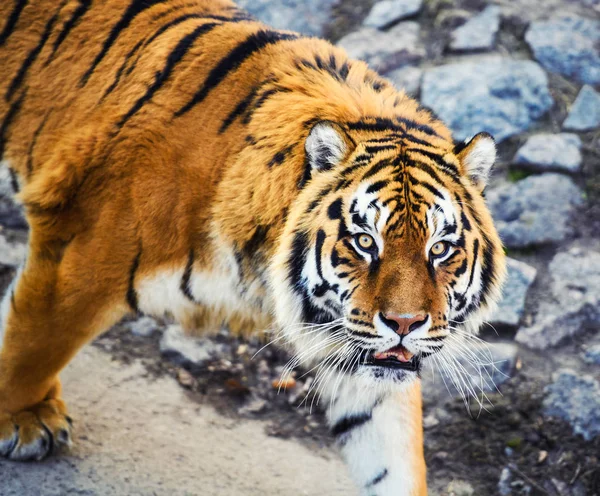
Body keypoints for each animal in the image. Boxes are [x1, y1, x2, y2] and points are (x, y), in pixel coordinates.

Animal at [0, 0, 506, 494]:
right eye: (365, 241)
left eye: (439, 249)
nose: (404, 324)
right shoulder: (79, 257)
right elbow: (33, 344)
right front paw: (24, 419)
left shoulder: (361, 353)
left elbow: (392, 455)